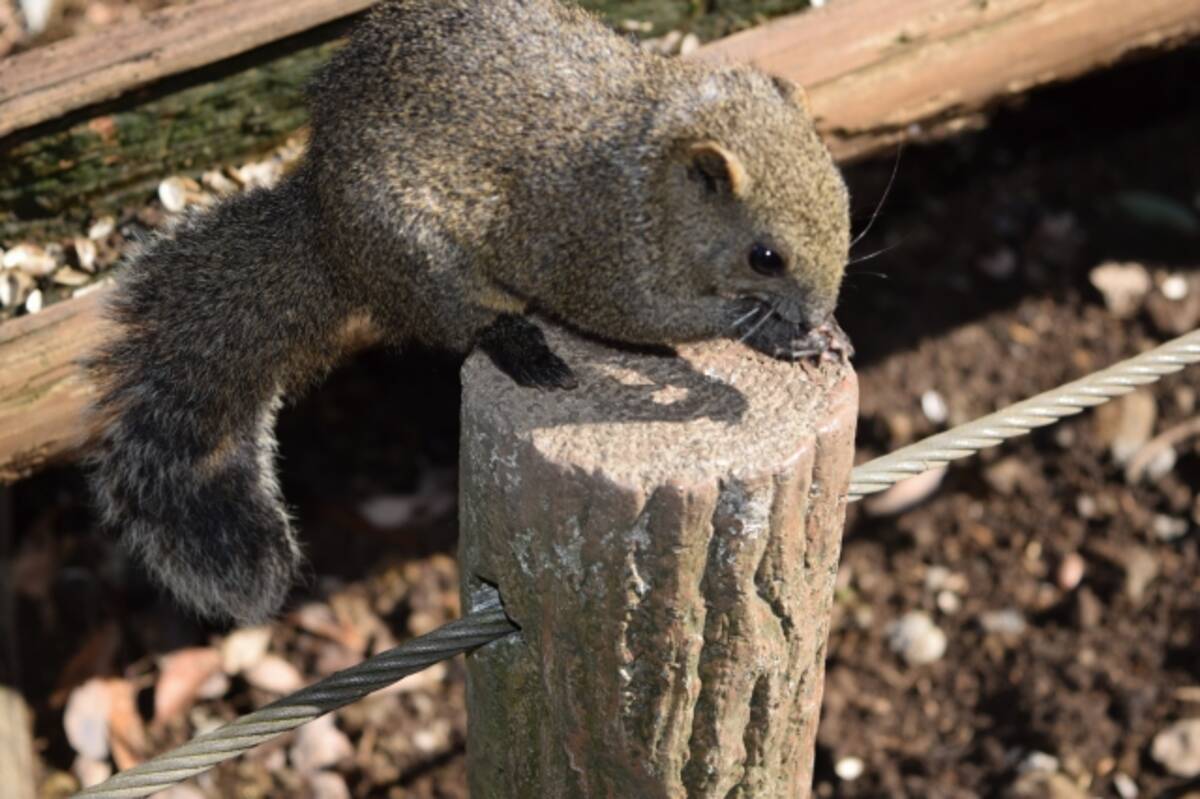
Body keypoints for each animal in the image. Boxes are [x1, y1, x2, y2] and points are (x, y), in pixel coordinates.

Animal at [84, 0, 854, 623]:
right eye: (764, 256)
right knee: (463, 324)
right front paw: (775, 339)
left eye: (842, 198)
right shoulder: (600, 261)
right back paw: (522, 346)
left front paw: (824, 333)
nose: (817, 308)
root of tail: (329, 235)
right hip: (424, 265)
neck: (650, 183)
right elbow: (648, 323)